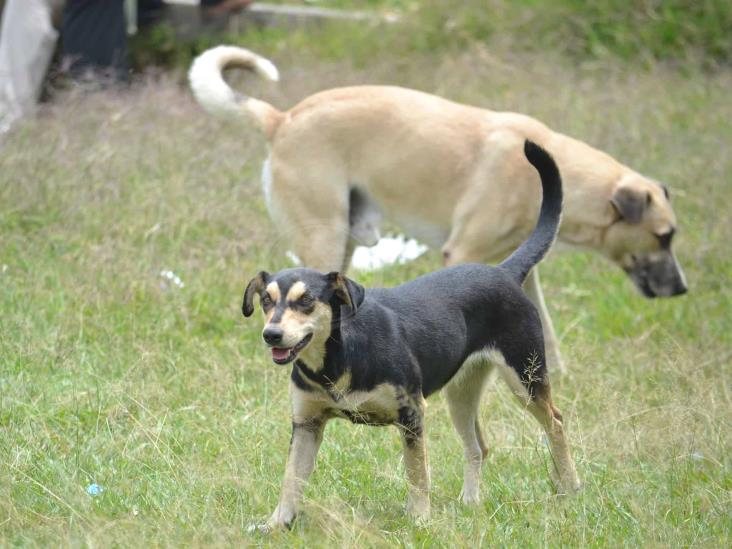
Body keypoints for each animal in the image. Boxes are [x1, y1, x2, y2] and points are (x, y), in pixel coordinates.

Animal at [187, 46, 688, 372]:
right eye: (663, 236)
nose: (683, 289)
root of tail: (282, 119)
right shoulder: (462, 253)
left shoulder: (521, 270)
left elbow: (545, 331)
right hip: (324, 238)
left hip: (343, 244)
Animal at [243, 141, 580, 528]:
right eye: (266, 300)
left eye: (307, 301)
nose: (271, 334)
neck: (338, 358)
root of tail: (505, 272)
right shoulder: (306, 424)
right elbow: (291, 480)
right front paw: (276, 524)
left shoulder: (412, 414)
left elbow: (418, 475)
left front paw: (419, 520)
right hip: (461, 393)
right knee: (478, 446)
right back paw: (470, 502)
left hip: (526, 378)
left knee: (556, 424)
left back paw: (570, 489)